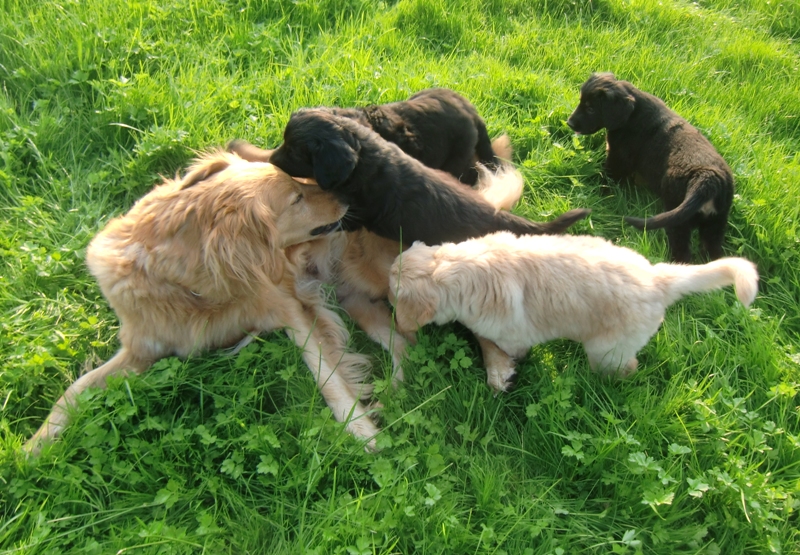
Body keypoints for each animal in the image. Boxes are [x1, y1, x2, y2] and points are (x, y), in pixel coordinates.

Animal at [24, 151, 381, 455]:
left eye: (297, 184)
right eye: (296, 198)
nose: (348, 197)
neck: (193, 289)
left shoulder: (289, 307)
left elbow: (326, 373)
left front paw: (358, 426)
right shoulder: (141, 350)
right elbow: (73, 391)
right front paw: (31, 448)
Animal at [389, 232, 758, 392]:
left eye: (393, 296)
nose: (387, 303)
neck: (455, 267)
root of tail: (658, 279)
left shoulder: (510, 335)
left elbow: (496, 345)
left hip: (606, 350)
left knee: (628, 368)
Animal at [567, 72, 734, 262]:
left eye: (591, 109)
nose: (569, 123)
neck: (632, 115)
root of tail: (707, 179)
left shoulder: (618, 158)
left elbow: (608, 177)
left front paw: (599, 190)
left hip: (677, 216)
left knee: (682, 250)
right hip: (716, 223)